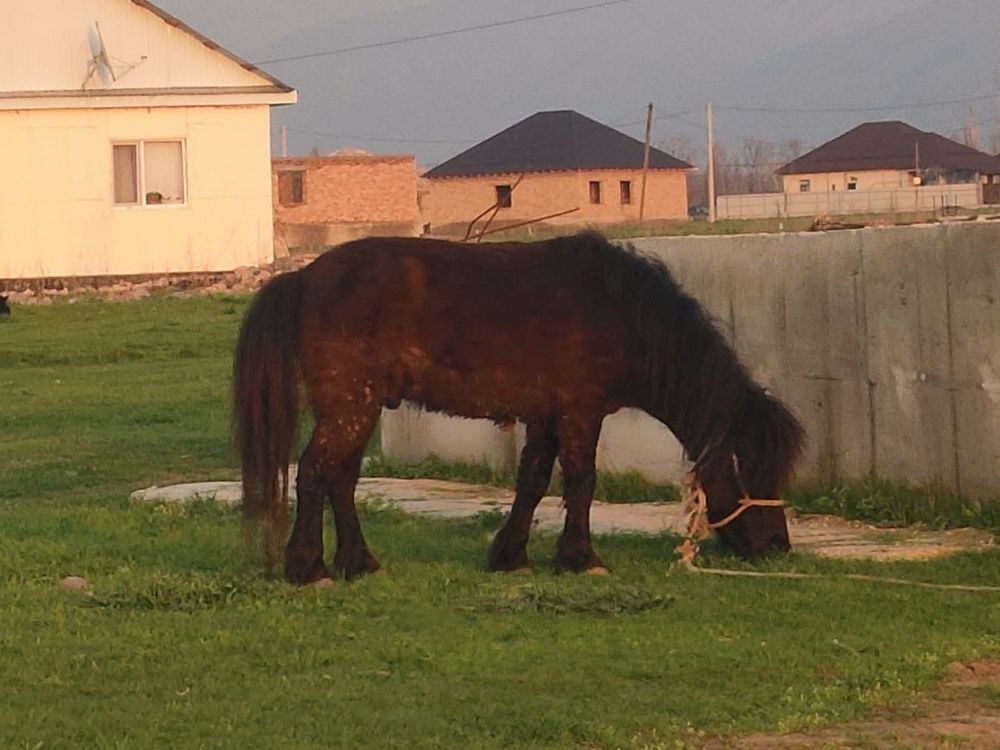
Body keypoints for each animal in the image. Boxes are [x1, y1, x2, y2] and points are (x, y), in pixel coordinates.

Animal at [234, 232, 804, 584]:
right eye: (748, 468)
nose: (776, 546)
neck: (619, 313)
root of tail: (304, 278)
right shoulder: (580, 413)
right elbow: (581, 481)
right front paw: (581, 559)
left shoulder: (545, 418)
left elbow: (532, 482)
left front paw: (510, 555)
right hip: (349, 406)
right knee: (314, 473)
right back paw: (310, 569)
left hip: (359, 409)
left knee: (342, 479)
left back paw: (359, 563)